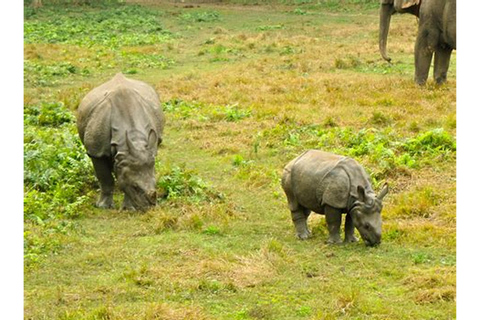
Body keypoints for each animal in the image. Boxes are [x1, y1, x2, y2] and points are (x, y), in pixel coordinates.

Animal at [76, 74, 164, 211]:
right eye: (135, 187)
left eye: (156, 182)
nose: (150, 207)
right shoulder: (97, 151)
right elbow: (106, 178)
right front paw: (103, 206)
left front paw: (129, 208)